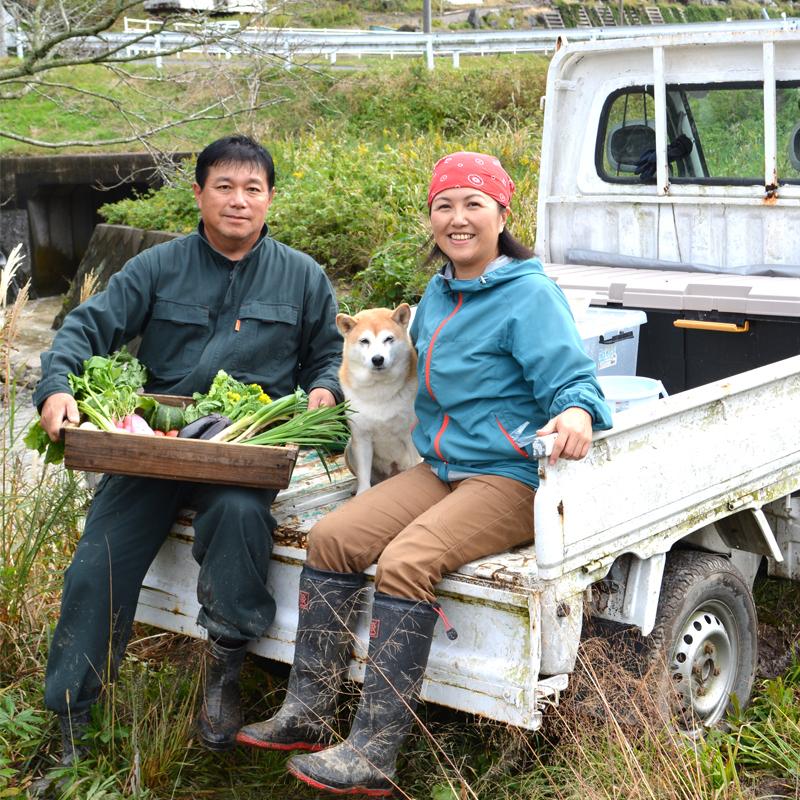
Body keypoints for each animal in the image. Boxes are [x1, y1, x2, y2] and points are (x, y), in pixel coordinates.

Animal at [336, 304, 422, 496]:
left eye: (388, 339)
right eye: (364, 341)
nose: (377, 359)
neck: (379, 390)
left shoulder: (409, 433)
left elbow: (417, 462)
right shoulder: (362, 438)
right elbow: (364, 475)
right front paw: (362, 492)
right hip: (349, 448)